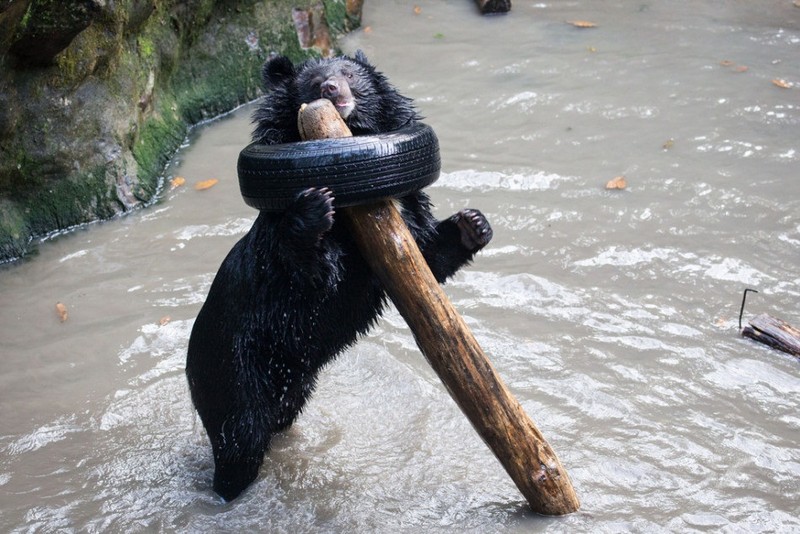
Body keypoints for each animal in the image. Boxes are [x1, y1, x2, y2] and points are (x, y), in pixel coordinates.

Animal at [187, 50, 490, 502]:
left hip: (292, 384)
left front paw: (473, 224)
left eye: (348, 73)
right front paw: (315, 206)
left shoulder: (402, 213)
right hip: (233, 368)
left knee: (277, 419)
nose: (332, 88)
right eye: (314, 82)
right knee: (239, 439)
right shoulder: (278, 264)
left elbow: (425, 253)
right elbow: (309, 272)